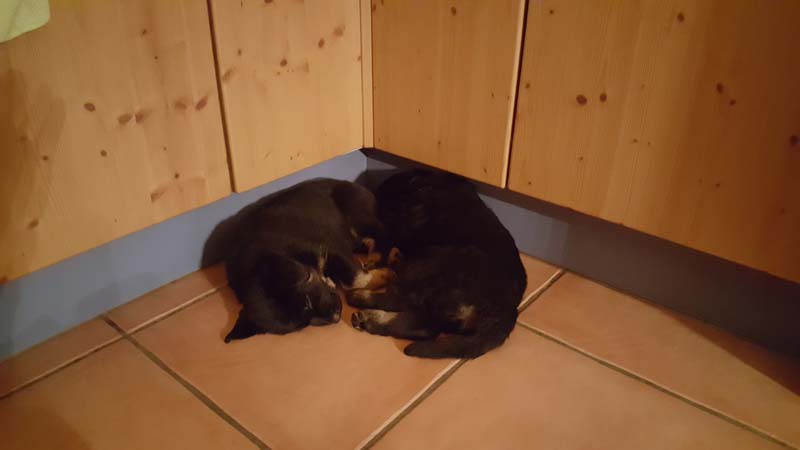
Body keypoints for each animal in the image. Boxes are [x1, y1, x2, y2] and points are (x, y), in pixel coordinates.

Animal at [221, 179, 391, 342]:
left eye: (307, 302)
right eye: (302, 325)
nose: (336, 318)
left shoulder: (331, 247)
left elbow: (355, 279)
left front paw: (384, 275)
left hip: (359, 217)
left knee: (383, 235)